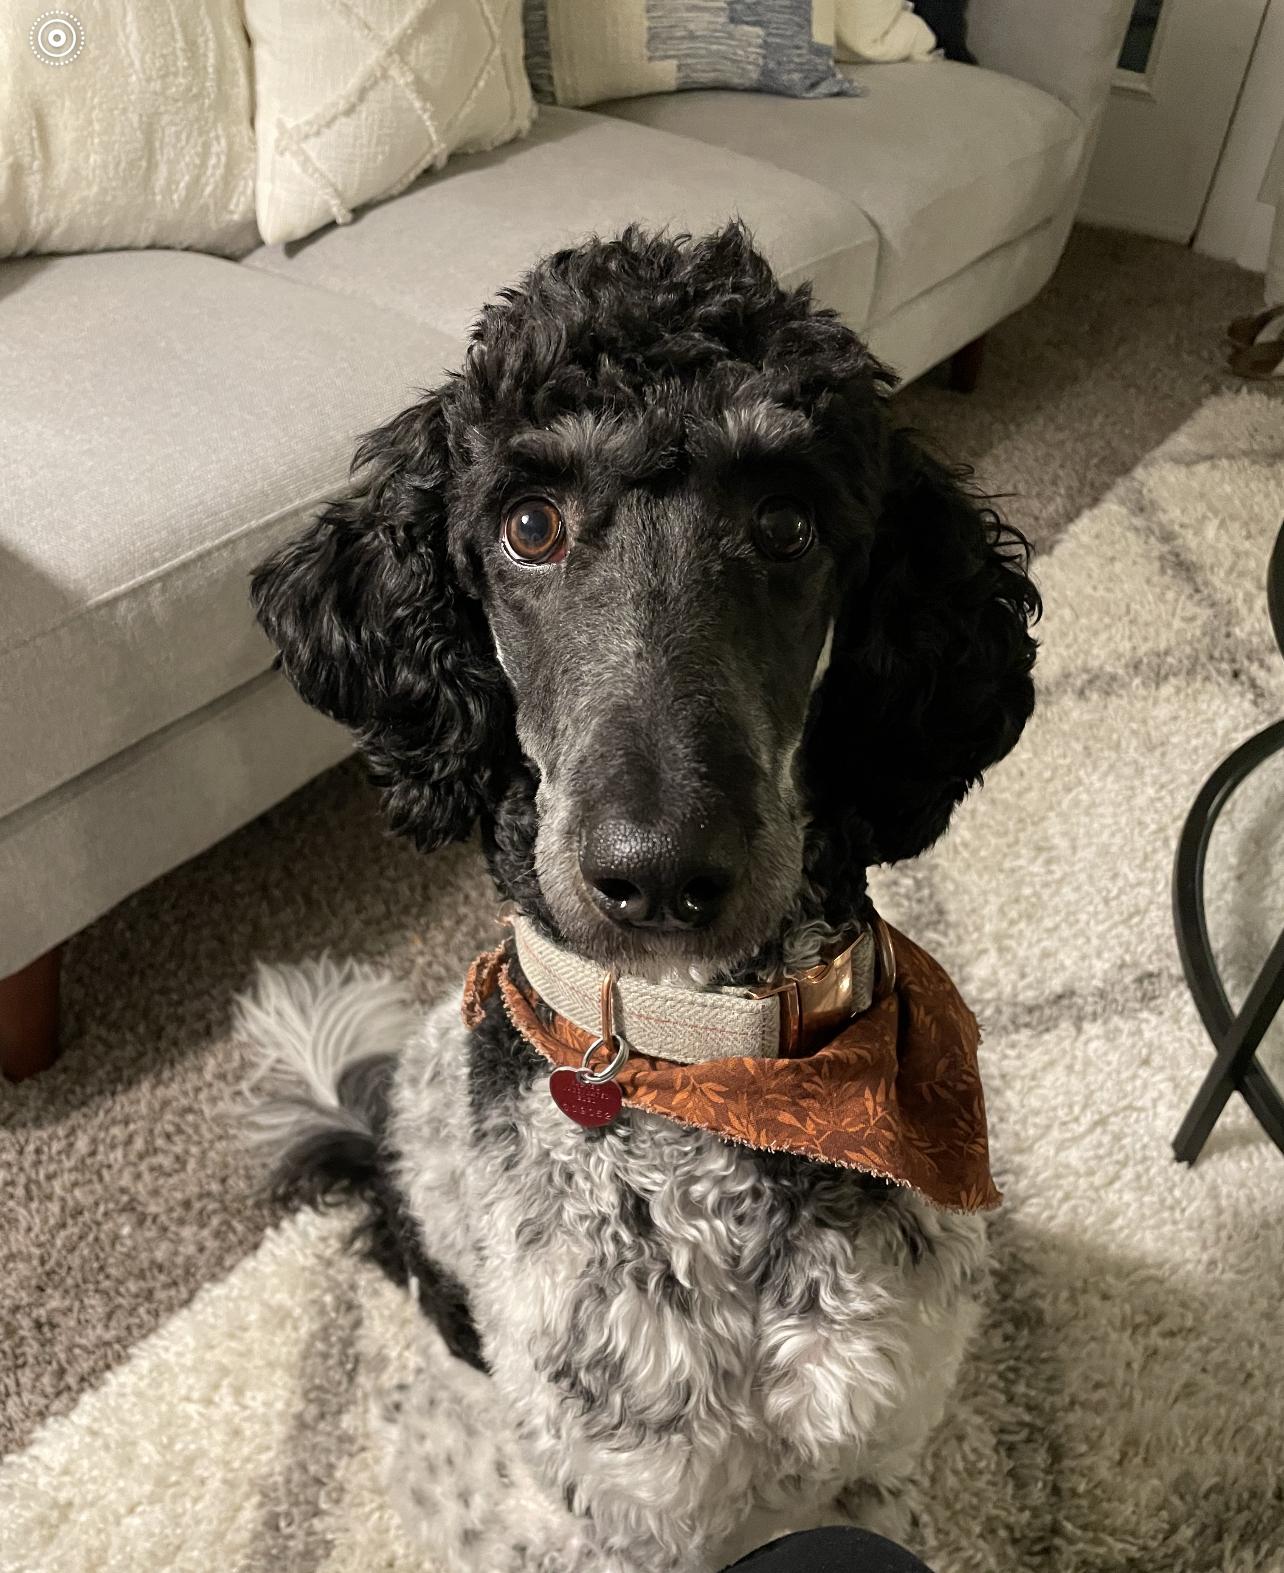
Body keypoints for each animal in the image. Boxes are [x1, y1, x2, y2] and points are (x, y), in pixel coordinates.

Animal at [240, 223, 1039, 1572]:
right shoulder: (639, 1504)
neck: (717, 1069)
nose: (659, 872)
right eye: (531, 523)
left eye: (787, 520)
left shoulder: (881, 1438)